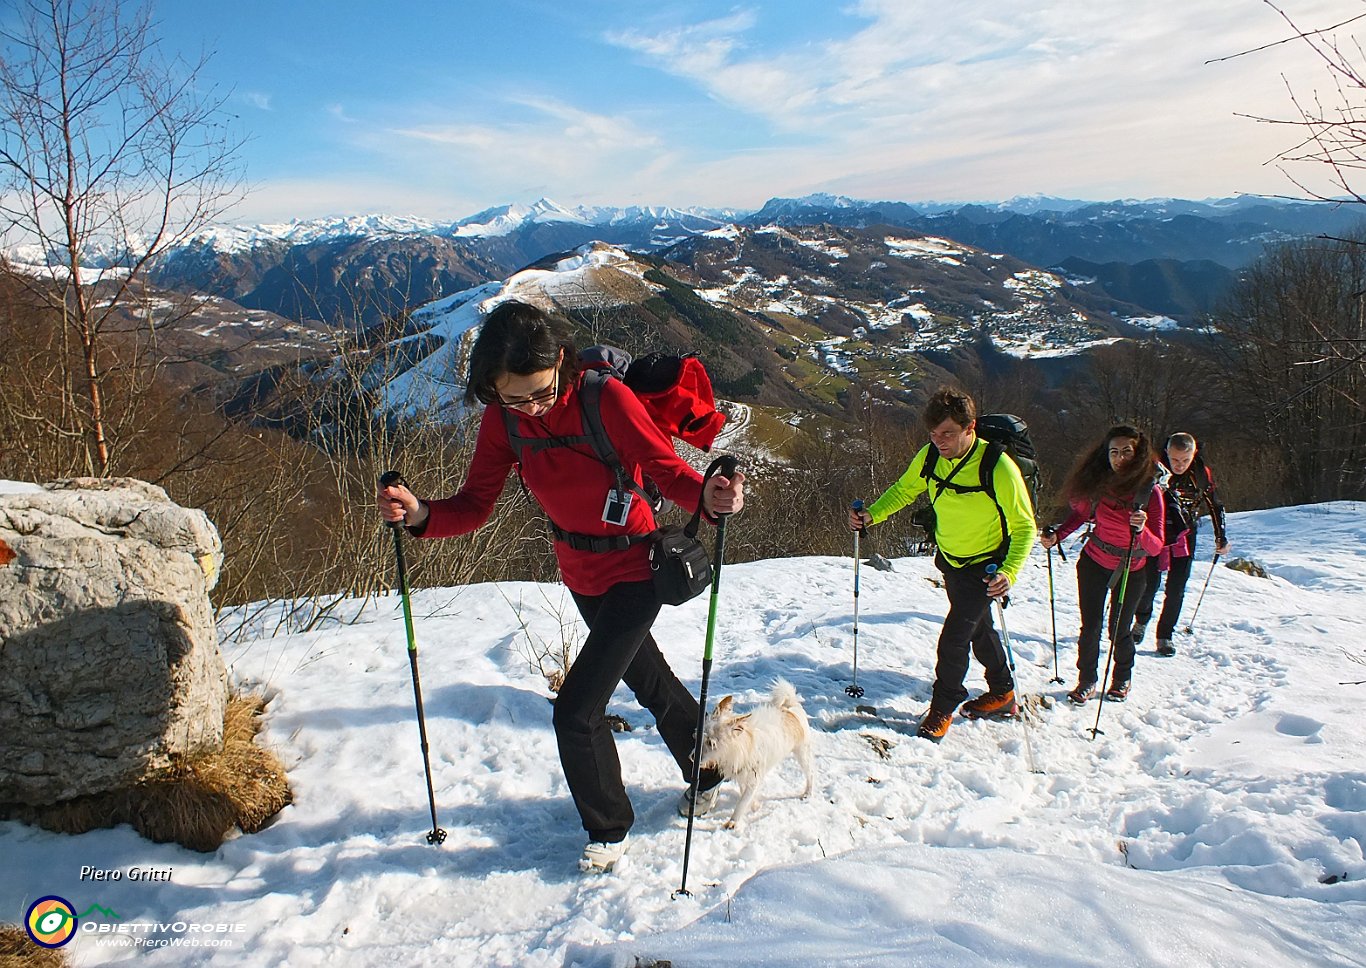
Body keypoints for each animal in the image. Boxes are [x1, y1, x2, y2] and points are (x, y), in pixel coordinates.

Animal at [699, 677, 814, 824]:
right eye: (697, 737)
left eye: (711, 743)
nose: (692, 757)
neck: (744, 745)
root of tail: (791, 707)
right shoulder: (742, 775)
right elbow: (745, 794)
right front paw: (755, 806)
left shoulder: (754, 779)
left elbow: (742, 802)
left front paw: (733, 822)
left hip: (802, 753)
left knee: (810, 773)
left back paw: (807, 793)